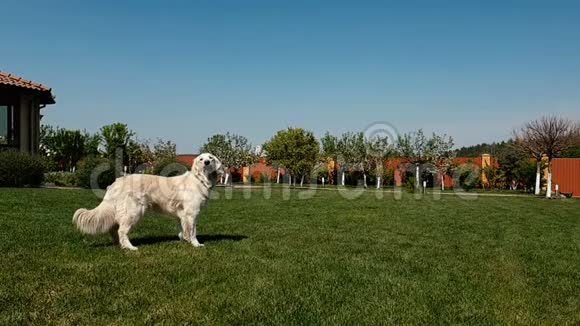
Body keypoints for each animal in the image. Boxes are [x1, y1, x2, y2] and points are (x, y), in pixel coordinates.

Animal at [73, 153, 223, 250]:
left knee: (114, 229)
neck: (200, 179)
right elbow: (193, 231)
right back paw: (130, 247)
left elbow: (182, 229)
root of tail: (117, 181)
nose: (207, 163)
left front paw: (183, 240)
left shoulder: (181, 214)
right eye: (201, 159)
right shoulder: (192, 213)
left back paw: (119, 245)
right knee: (121, 230)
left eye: (211, 158)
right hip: (134, 212)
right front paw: (196, 244)